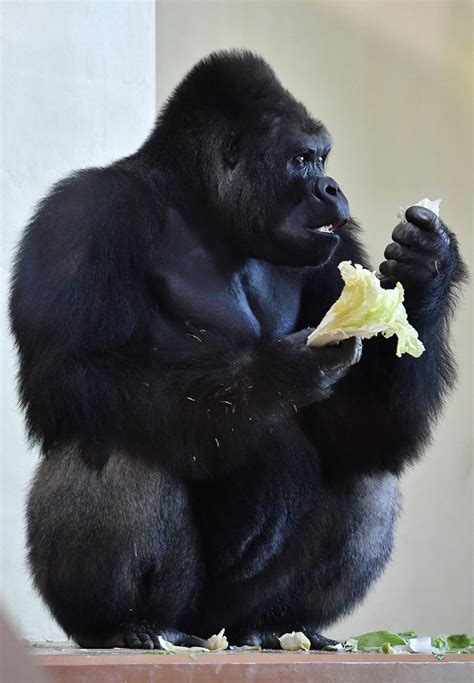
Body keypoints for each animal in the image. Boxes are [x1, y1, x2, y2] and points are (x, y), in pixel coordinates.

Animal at [9, 50, 464, 648]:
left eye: (322, 158)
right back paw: (126, 623)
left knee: (367, 475)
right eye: (301, 160)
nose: (332, 188)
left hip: (233, 613)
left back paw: (282, 624)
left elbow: (365, 429)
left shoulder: (336, 241)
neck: (196, 205)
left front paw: (425, 268)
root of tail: (208, 632)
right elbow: (70, 371)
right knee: (114, 436)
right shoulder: (85, 214)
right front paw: (273, 375)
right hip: (173, 614)